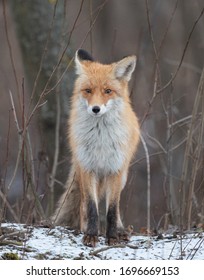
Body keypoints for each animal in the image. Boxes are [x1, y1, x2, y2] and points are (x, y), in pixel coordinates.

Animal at [51, 49, 139, 246]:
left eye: (108, 91)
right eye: (88, 91)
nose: (96, 109)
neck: (101, 139)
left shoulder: (115, 169)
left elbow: (112, 209)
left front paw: (112, 236)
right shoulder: (88, 167)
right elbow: (91, 207)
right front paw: (91, 234)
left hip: (122, 175)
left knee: (115, 207)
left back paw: (121, 231)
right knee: (83, 203)